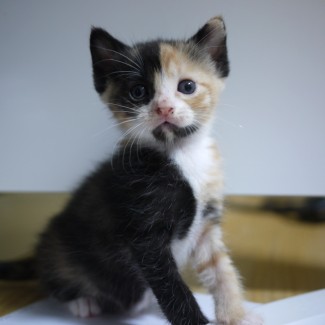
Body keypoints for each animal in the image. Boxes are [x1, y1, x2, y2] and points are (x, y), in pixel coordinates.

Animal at [0, 16, 260, 322]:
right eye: (139, 92)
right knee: (54, 278)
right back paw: (83, 302)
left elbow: (222, 270)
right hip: (58, 244)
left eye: (187, 86)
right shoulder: (144, 233)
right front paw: (196, 320)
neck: (182, 154)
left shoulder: (206, 224)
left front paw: (236, 315)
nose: (164, 108)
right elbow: (172, 286)